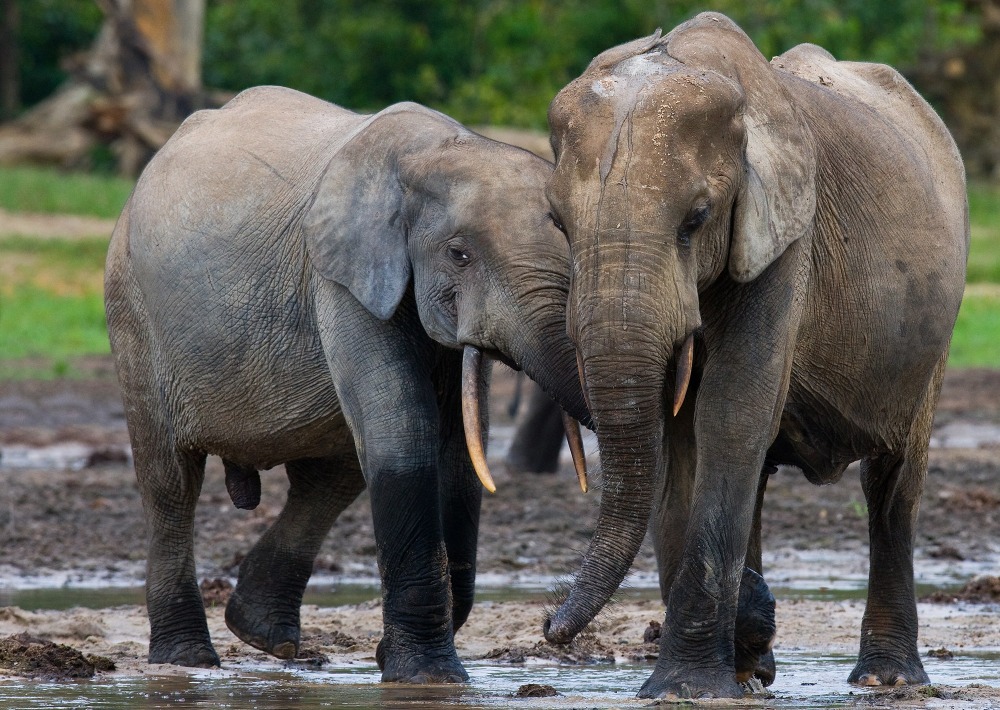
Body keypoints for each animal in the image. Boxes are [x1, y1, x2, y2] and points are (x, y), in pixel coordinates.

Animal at [107, 86, 592, 688]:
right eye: (459, 254)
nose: (552, 626)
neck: (436, 152)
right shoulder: (341, 277)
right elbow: (404, 433)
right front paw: (425, 678)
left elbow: (458, 454)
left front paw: (398, 661)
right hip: (132, 312)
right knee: (171, 484)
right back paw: (187, 660)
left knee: (331, 477)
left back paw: (264, 635)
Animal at [540, 13, 968, 704]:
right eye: (557, 223)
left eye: (696, 219)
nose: (549, 625)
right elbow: (679, 436)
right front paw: (733, 655)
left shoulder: (786, 236)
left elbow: (730, 410)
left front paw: (687, 686)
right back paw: (754, 662)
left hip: (934, 336)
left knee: (892, 485)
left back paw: (886, 677)